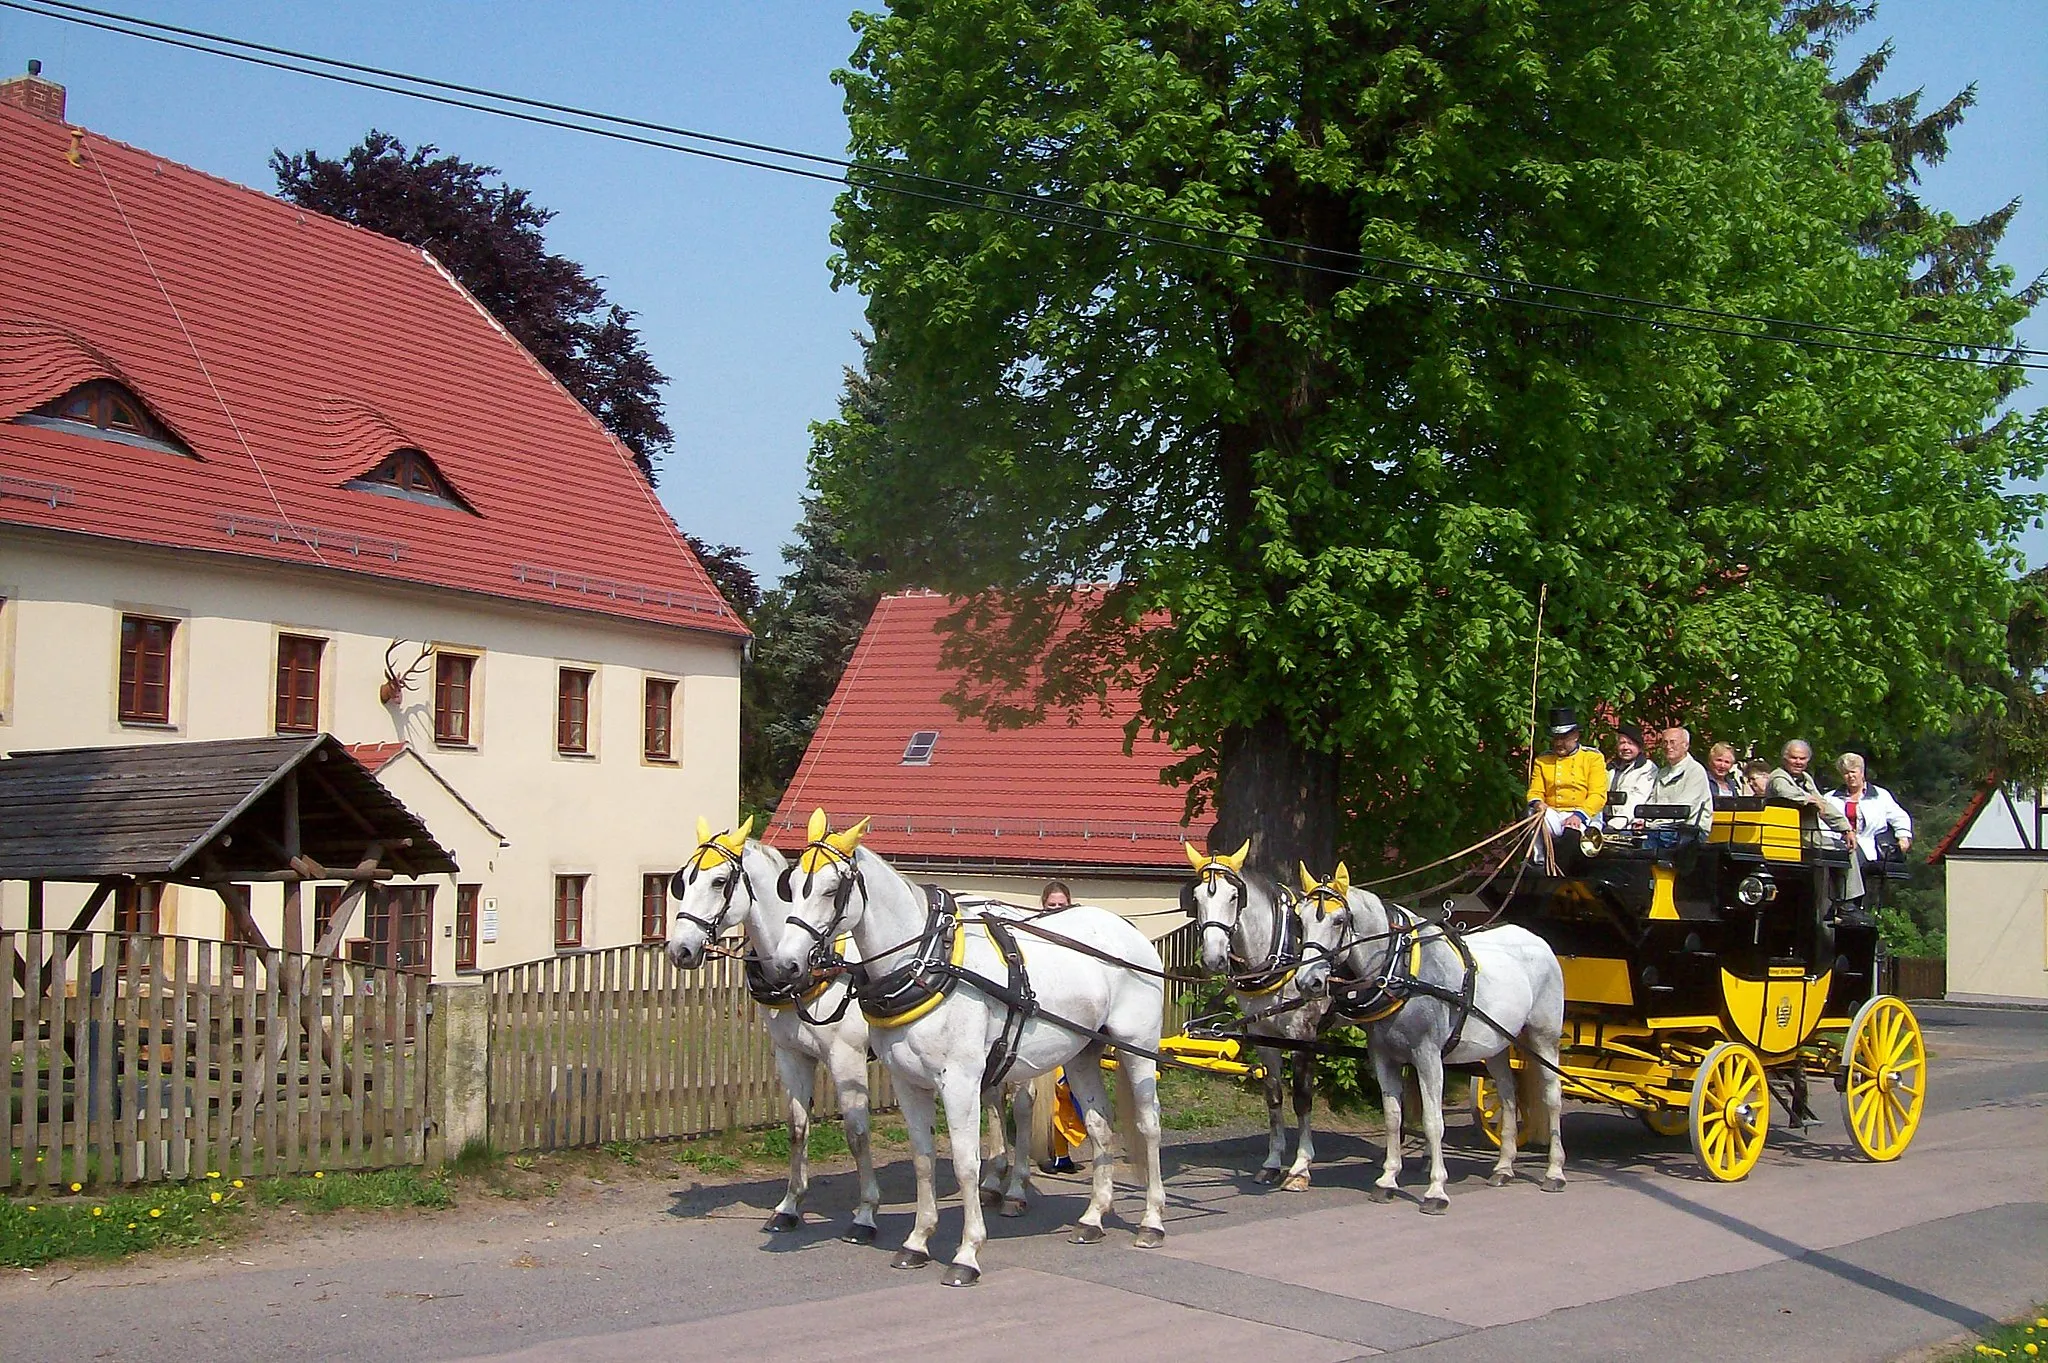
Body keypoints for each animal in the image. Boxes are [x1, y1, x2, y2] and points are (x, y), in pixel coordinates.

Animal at [667, 822, 884, 1236]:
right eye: (683, 881)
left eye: (720, 881)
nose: (679, 949)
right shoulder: (790, 1055)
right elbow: (797, 1127)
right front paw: (789, 1206)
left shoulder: (847, 1059)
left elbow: (857, 1134)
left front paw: (865, 1213)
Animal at [765, 806, 1171, 1285]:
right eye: (790, 887)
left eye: (832, 890)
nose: (787, 965)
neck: (926, 963)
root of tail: (1130, 932)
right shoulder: (908, 1083)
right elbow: (923, 1158)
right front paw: (917, 1242)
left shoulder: (958, 1082)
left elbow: (964, 1163)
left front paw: (967, 1253)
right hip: (1083, 1055)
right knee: (1100, 1126)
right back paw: (1092, 1218)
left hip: (1135, 1047)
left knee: (1148, 1125)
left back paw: (1151, 1221)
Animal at [1179, 843, 1335, 1186]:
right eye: (1196, 897)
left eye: (1234, 896)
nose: (1213, 959)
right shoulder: (1264, 1037)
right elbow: (1274, 1096)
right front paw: (1272, 1163)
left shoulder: (1303, 1035)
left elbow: (1302, 1098)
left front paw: (1300, 1168)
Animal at [1294, 859, 1564, 1211]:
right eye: (1300, 920)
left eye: (1339, 920)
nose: (1307, 982)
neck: (1400, 970)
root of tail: (1538, 940)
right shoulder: (1383, 1056)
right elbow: (1393, 1117)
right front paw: (1387, 1180)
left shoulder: (1427, 1056)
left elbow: (1433, 1121)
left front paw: (1436, 1190)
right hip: (1497, 1047)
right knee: (1508, 1096)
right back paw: (1504, 1168)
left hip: (1544, 1038)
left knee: (1552, 1096)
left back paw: (1554, 1172)